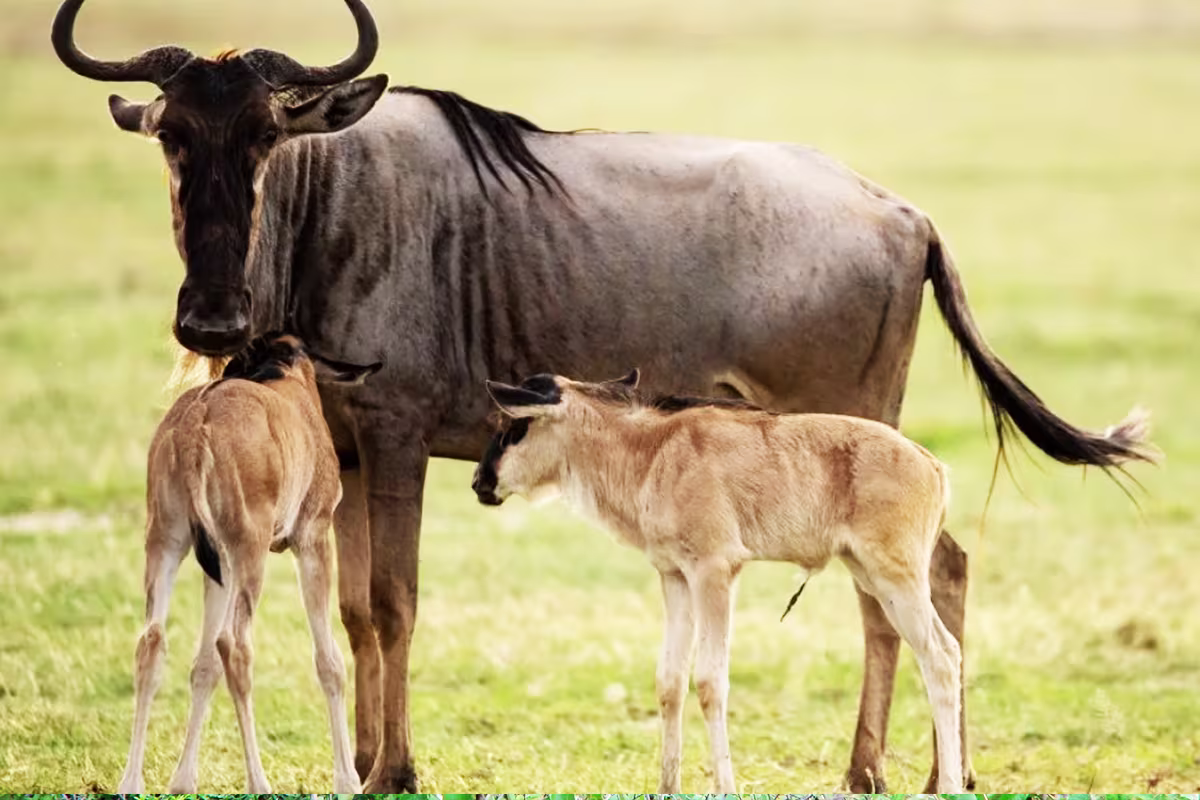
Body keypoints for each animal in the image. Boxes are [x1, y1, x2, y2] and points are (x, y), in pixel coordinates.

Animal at [117, 333, 380, 794]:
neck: (284, 373)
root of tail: (195, 422)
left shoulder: (217, 563)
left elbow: (203, 665)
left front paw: (182, 780)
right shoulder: (313, 539)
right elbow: (328, 660)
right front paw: (347, 779)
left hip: (167, 540)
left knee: (152, 641)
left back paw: (131, 782)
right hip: (249, 548)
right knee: (234, 645)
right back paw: (259, 782)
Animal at [471, 370, 1151, 793]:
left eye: (515, 427)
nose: (480, 483)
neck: (654, 452)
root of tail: (932, 463)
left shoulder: (717, 573)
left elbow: (710, 681)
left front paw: (725, 787)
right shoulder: (674, 577)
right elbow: (668, 682)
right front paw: (665, 785)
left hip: (897, 578)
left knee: (941, 654)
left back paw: (953, 786)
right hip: (871, 575)